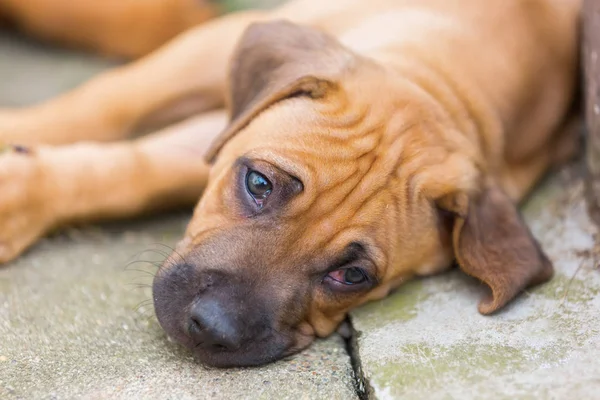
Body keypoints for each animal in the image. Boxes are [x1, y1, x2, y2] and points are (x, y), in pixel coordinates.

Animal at [0, 0, 580, 368]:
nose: (209, 327)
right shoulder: (218, 52)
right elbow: (112, 106)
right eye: (258, 183)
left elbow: (136, 173)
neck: (439, 80)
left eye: (352, 275)